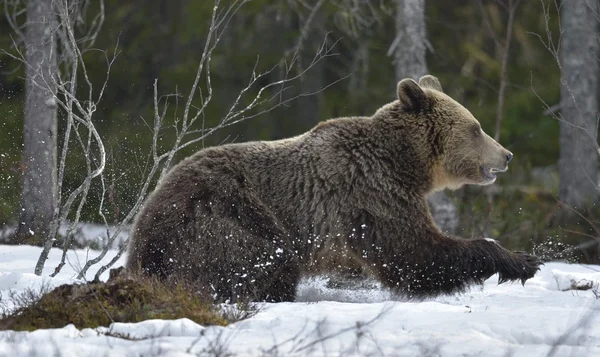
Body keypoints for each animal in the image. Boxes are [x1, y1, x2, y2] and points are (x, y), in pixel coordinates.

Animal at [125, 74, 540, 300]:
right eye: (476, 128)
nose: (507, 154)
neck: (404, 164)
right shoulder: (369, 194)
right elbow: (413, 255)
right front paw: (520, 260)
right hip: (224, 214)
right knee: (265, 258)